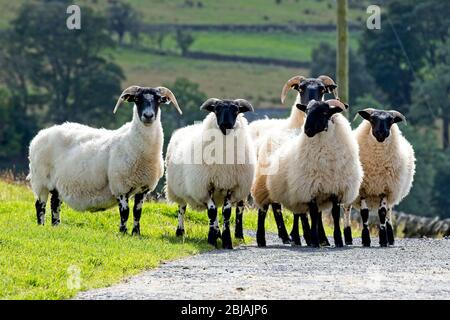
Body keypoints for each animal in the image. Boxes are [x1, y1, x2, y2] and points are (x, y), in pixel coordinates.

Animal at [27, 85, 182, 235]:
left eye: (158, 100)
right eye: (137, 99)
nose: (148, 116)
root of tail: (40, 135)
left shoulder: (143, 188)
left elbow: (137, 213)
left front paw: (136, 233)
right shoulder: (120, 186)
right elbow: (125, 212)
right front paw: (123, 232)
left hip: (57, 184)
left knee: (55, 203)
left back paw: (56, 226)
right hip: (41, 180)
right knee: (40, 204)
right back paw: (41, 226)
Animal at [166, 99, 256, 249]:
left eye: (236, 110)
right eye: (216, 109)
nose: (226, 124)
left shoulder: (231, 186)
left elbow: (226, 213)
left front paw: (226, 240)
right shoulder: (206, 187)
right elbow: (212, 211)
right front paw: (212, 240)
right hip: (179, 189)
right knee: (181, 209)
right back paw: (180, 231)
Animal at [250, 75, 338, 245]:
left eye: (322, 89)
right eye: (301, 89)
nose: (308, 103)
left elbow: (313, 212)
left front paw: (321, 238)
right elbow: (303, 211)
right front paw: (306, 236)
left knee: (276, 205)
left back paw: (286, 235)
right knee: (269, 206)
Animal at [255, 99, 364, 248]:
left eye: (324, 112)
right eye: (307, 111)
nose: (307, 130)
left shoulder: (335, 189)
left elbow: (334, 215)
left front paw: (336, 241)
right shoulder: (310, 189)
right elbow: (313, 214)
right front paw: (315, 241)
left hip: (290, 191)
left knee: (295, 212)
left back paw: (298, 238)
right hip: (264, 186)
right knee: (263, 210)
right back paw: (261, 239)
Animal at [342, 109, 416, 246]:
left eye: (391, 120)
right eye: (372, 119)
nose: (381, 133)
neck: (377, 163)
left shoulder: (386, 189)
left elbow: (382, 213)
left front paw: (383, 239)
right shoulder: (363, 189)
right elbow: (364, 213)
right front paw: (366, 239)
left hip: (393, 191)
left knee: (389, 211)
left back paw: (390, 237)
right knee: (347, 210)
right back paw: (348, 237)